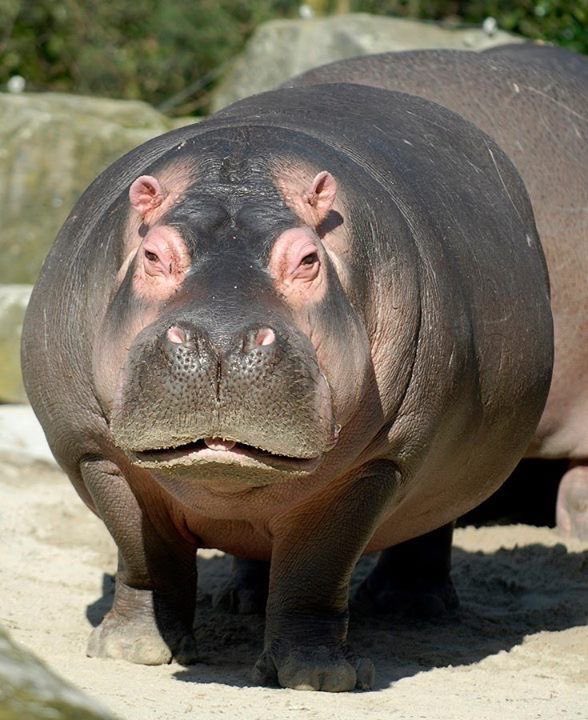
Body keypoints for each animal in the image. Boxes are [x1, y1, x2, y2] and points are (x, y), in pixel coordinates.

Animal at [22, 83, 553, 691]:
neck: (241, 173)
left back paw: (411, 608)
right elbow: (141, 551)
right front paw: (131, 651)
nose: (222, 339)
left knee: (425, 526)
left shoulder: (376, 465)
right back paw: (245, 600)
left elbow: (317, 570)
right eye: (153, 253)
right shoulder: (95, 451)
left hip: (436, 465)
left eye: (307, 258)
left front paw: (318, 676)